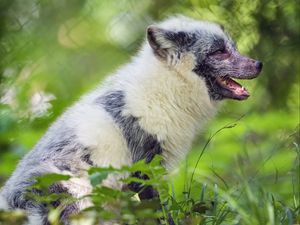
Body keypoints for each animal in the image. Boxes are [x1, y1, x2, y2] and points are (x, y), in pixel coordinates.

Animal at [0, 14, 262, 224]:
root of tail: (12, 206)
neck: (165, 90)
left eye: (233, 47)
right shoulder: (144, 170)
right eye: (219, 52)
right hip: (77, 198)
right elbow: (158, 213)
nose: (259, 64)